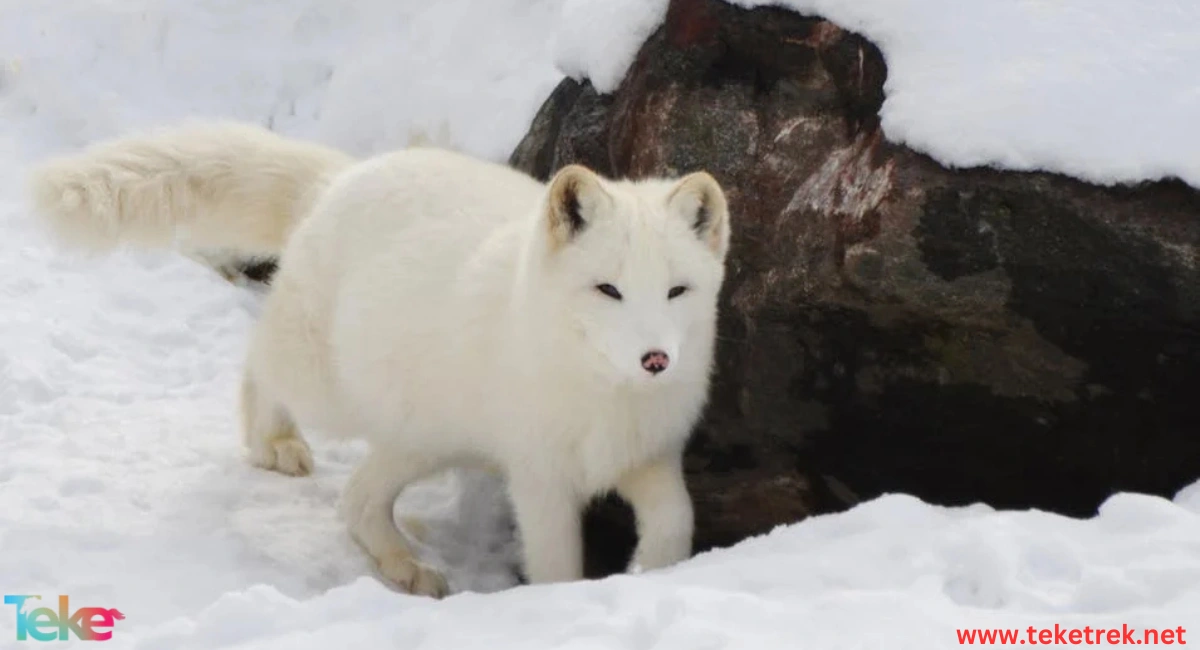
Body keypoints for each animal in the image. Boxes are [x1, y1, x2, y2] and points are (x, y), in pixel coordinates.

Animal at [28, 119, 734, 599]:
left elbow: (677, 521)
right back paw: (273, 442)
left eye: (677, 291)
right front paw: (560, 604)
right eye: (608, 290)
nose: (655, 359)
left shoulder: (649, 455)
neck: (603, 395)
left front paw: (656, 573)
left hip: (423, 437)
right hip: (333, 393)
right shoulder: (540, 477)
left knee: (358, 502)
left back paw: (406, 566)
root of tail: (340, 179)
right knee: (260, 365)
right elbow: (556, 565)